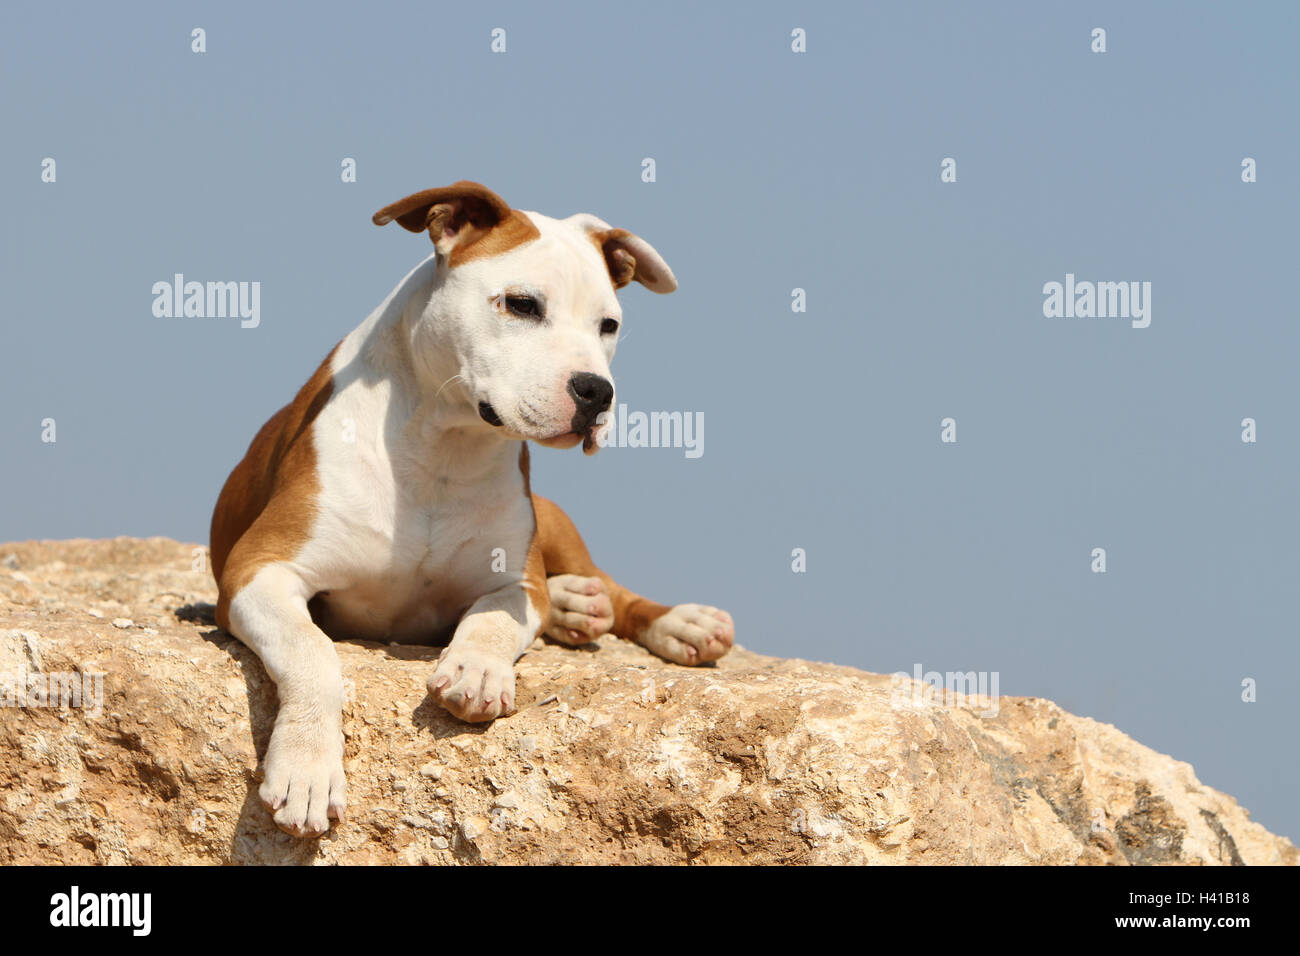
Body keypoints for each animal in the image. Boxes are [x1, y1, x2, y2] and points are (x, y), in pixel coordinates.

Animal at [209, 180, 738, 837]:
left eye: (609, 325)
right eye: (522, 304)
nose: (597, 391)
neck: (443, 446)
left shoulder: (515, 581)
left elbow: (492, 619)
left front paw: (478, 670)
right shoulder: (258, 570)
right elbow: (312, 651)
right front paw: (307, 768)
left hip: (553, 521)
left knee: (615, 594)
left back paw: (676, 622)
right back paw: (576, 607)